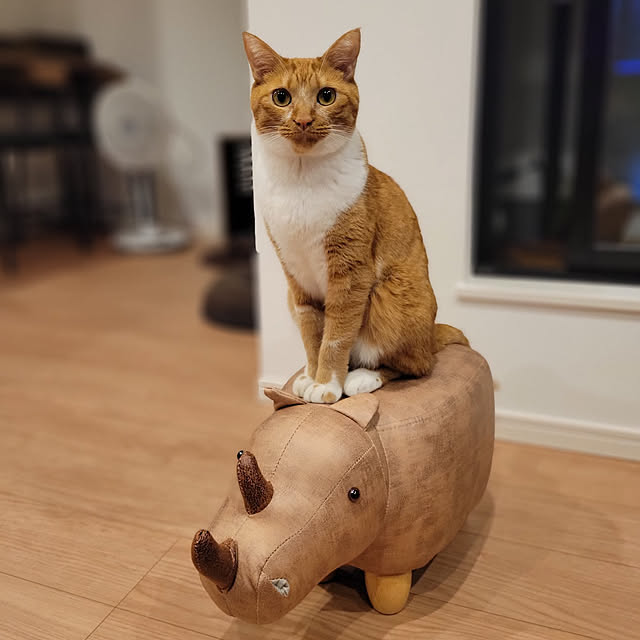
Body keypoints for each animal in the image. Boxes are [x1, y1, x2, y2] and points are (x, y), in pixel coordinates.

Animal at [243, 28, 468, 404]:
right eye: (281, 97)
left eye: (326, 96)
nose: (303, 120)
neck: (301, 181)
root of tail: (431, 335)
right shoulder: (297, 279)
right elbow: (312, 335)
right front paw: (311, 375)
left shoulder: (350, 274)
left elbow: (336, 335)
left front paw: (327, 384)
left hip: (388, 297)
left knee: (415, 364)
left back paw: (362, 376)